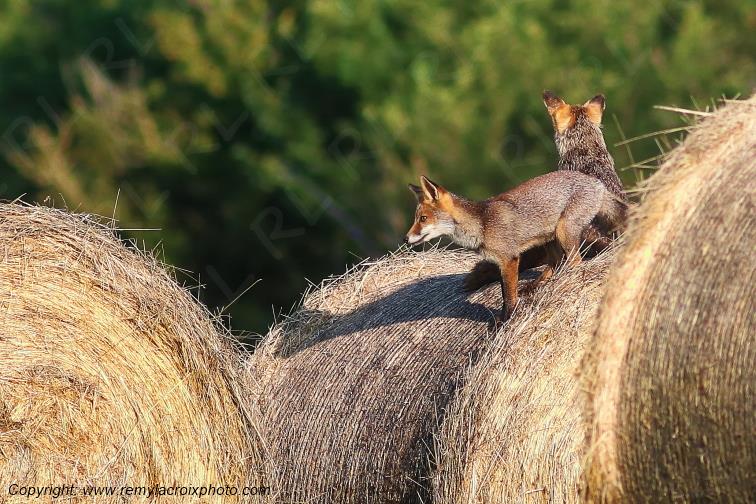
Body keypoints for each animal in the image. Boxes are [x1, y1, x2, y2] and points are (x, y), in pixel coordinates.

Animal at [405, 172, 627, 321]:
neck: (482, 225)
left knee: (575, 262)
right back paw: (537, 285)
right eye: (417, 218)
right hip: (551, 238)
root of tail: (596, 182)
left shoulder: (509, 259)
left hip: (564, 231)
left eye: (423, 219)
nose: (406, 239)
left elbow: (508, 296)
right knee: (556, 262)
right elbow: (506, 291)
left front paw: (505, 320)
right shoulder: (501, 262)